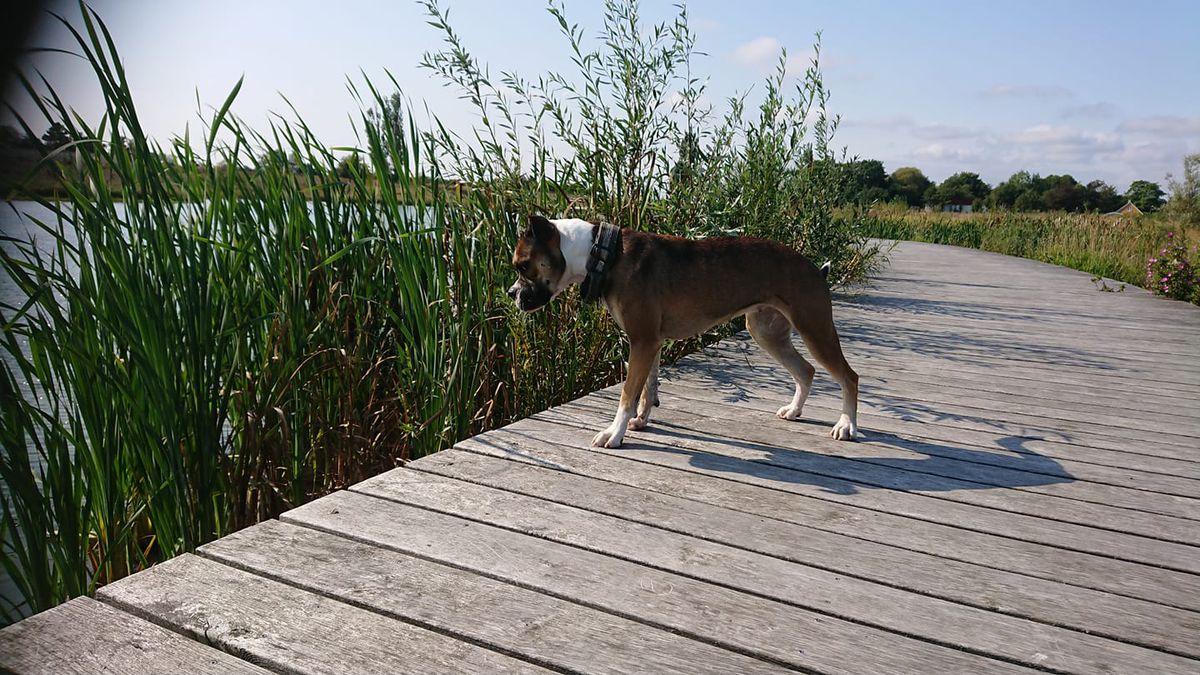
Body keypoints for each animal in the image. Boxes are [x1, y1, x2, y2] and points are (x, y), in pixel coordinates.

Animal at [511, 214, 859, 446]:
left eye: (521, 265)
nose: (512, 293)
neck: (604, 254)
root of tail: (813, 267)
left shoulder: (642, 341)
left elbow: (627, 394)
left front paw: (614, 432)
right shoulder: (651, 343)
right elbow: (647, 389)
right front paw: (641, 420)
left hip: (814, 328)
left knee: (848, 376)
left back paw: (846, 425)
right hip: (767, 332)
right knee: (806, 371)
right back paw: (795, 410)